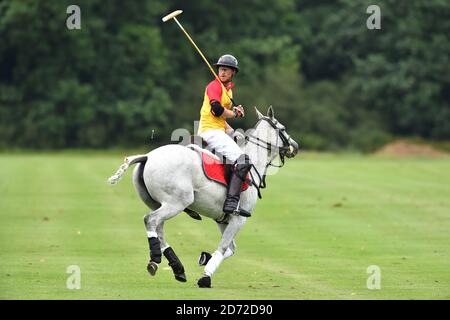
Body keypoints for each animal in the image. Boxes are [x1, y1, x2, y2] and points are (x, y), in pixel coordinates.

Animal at [108, 107, 298, 288]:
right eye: (283, 128)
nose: (295, 147)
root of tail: (147, 156)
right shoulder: (239, 218)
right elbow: (224, 247)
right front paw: (205, 277)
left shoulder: (223, 219)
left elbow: (230, 249)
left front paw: (205, 258)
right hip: (176, 202)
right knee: (150, 220)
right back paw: (155, 259)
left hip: (158, 203)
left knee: (159, 228)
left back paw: (178, 268)